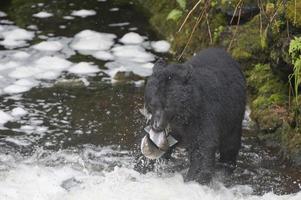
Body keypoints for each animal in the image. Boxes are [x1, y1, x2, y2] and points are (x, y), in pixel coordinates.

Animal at [139, 47, 245, 184]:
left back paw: (226, 166)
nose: (157, 126)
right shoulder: (175, 127)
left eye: (167, 106)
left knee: (230, 144)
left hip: (233, 115)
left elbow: (202, 148)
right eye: (152, 104)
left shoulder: (205, 114)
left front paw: (195, 178)